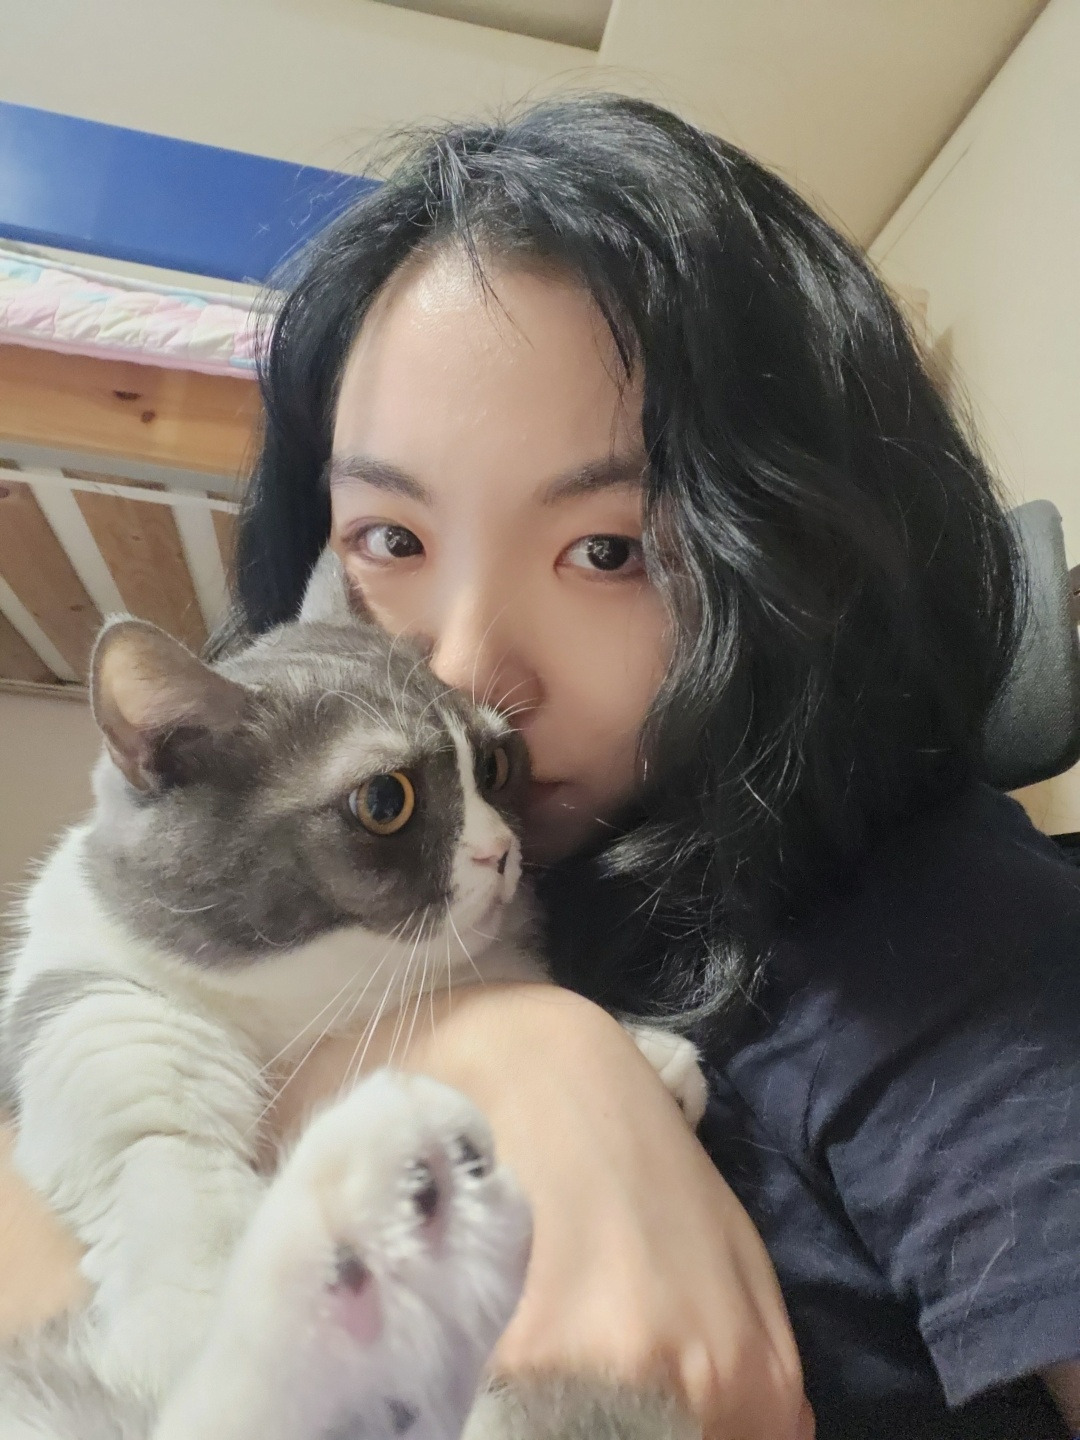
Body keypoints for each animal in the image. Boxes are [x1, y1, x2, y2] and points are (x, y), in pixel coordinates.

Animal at [0, 553, 704, 1440]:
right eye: (385, 801)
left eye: (494, 767)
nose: (502, 851)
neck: (303, 1005)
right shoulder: (106, 1042)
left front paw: (658, 1058)